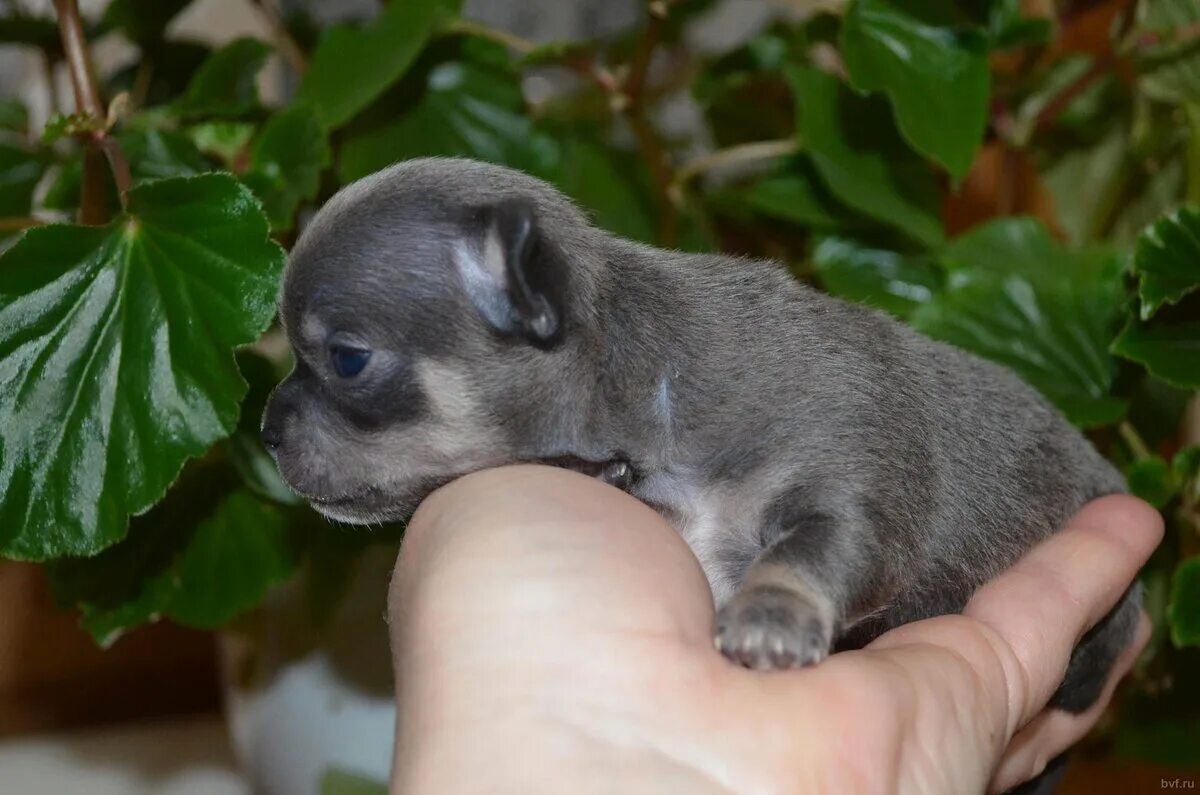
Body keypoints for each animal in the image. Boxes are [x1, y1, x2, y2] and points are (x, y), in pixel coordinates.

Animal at [265, 156, 1142, 710]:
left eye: (346, 359)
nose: (266, 431)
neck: (649, 389)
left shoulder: (850, 484)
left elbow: (809, 549)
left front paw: (770, 618)